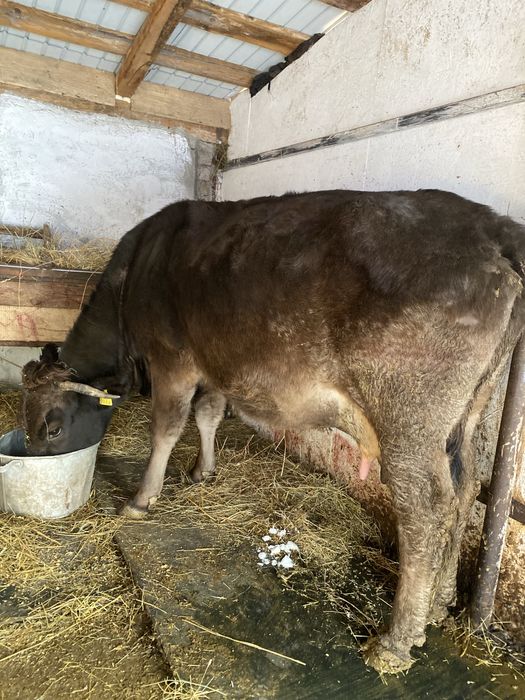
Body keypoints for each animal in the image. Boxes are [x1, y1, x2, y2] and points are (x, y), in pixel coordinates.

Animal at [21, 190, 525, 674]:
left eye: (52, 427)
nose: (35, 455)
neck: (137, 270)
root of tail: (494, 226)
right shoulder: (214, 363)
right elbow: (207, 414)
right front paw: (203, 471)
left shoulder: (172, 357)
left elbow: (166, 427)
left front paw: (142, 499)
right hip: (467, 414)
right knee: (465, 490)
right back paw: (439, 604)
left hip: (409, 421)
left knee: (426, 507)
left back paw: (395, 642)